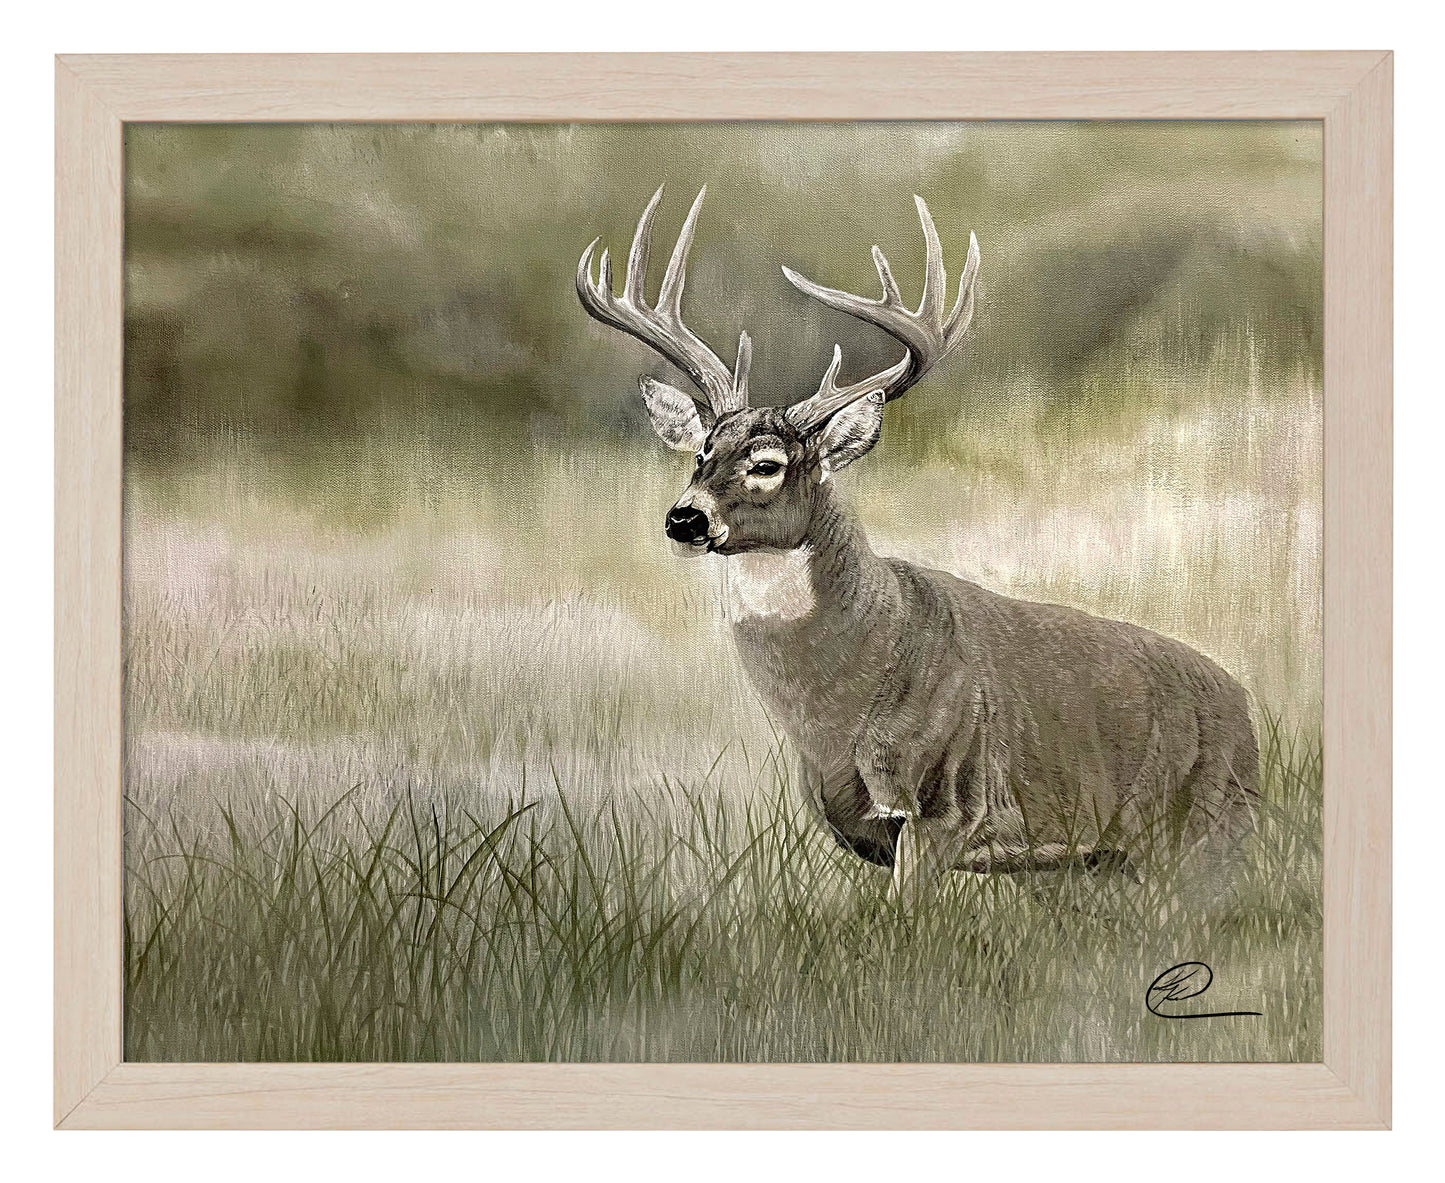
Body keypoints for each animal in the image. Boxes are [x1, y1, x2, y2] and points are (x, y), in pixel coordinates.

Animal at [577, 185, 1259, 905]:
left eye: (766, 463)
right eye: (700, 454)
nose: (684, 519)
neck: (835, 711)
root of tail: (1246, 708)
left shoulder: (946, 804)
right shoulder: (864, 830)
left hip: (1211, 828)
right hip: (1104, 858)